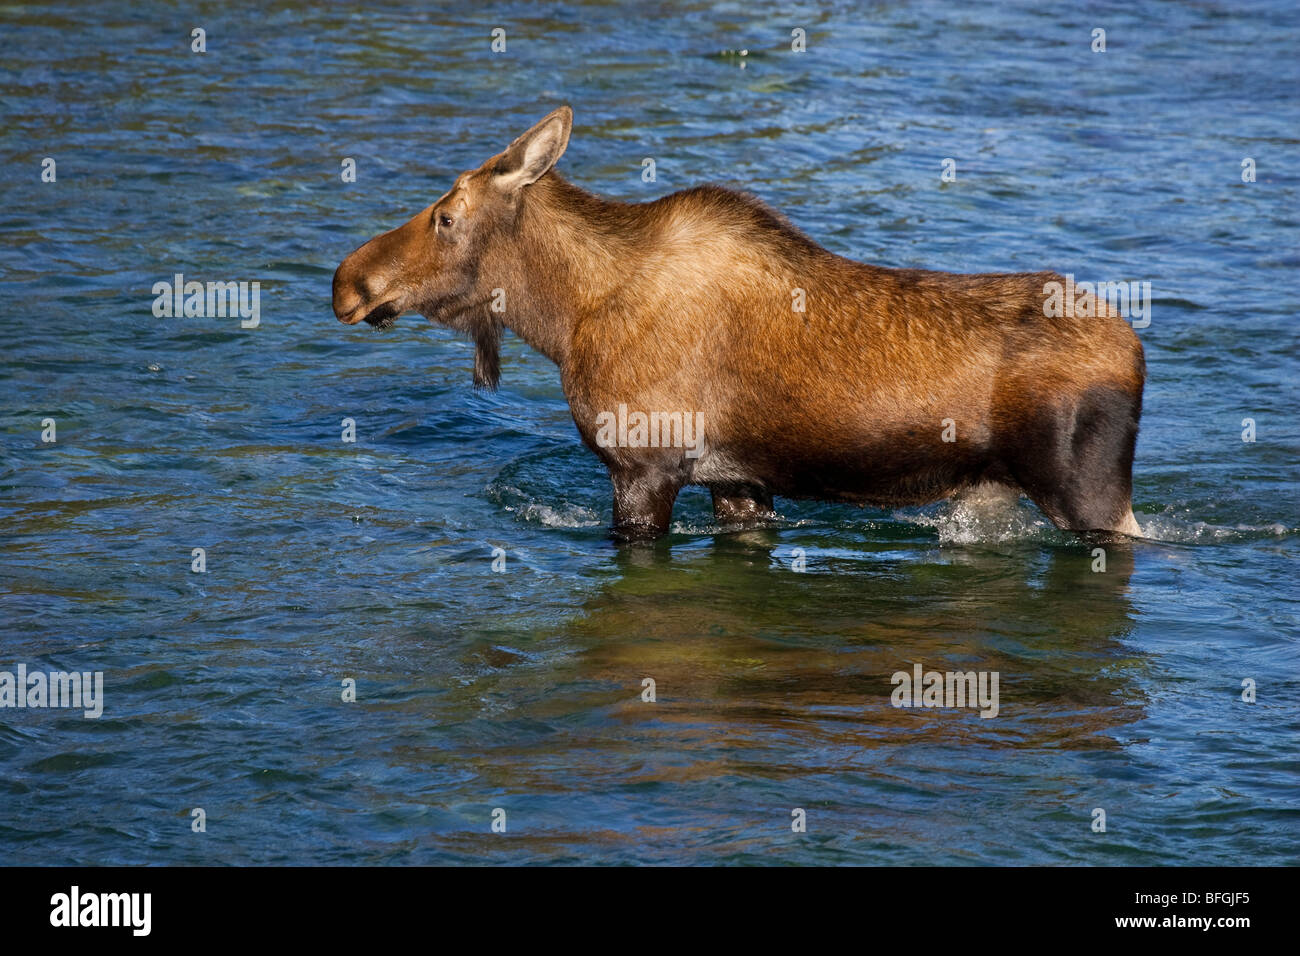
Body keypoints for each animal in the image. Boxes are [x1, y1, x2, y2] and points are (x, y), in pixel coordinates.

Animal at [330, 107, 1144, 541]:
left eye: (445, 217)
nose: (347, 281)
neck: (564, 321)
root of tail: (1137, 352)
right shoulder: (739, 483)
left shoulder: (644, 465)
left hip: (1088, 492)